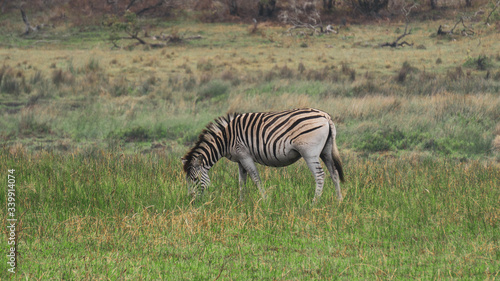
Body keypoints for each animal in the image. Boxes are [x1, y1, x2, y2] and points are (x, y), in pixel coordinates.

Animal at [182, 106, 346, 201]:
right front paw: (241, 202)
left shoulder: (245, 155)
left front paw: (265, 200)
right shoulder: (240, 160)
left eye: (195, 179)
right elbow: (242, 182)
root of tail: (326, 116)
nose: (192, 202)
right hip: (326, 151)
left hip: (309, 153)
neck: (226, 139)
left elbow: (256, 179)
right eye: (188, 181)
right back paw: (339, 200)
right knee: (334, 173)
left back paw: (314, 202)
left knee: (320, 175)